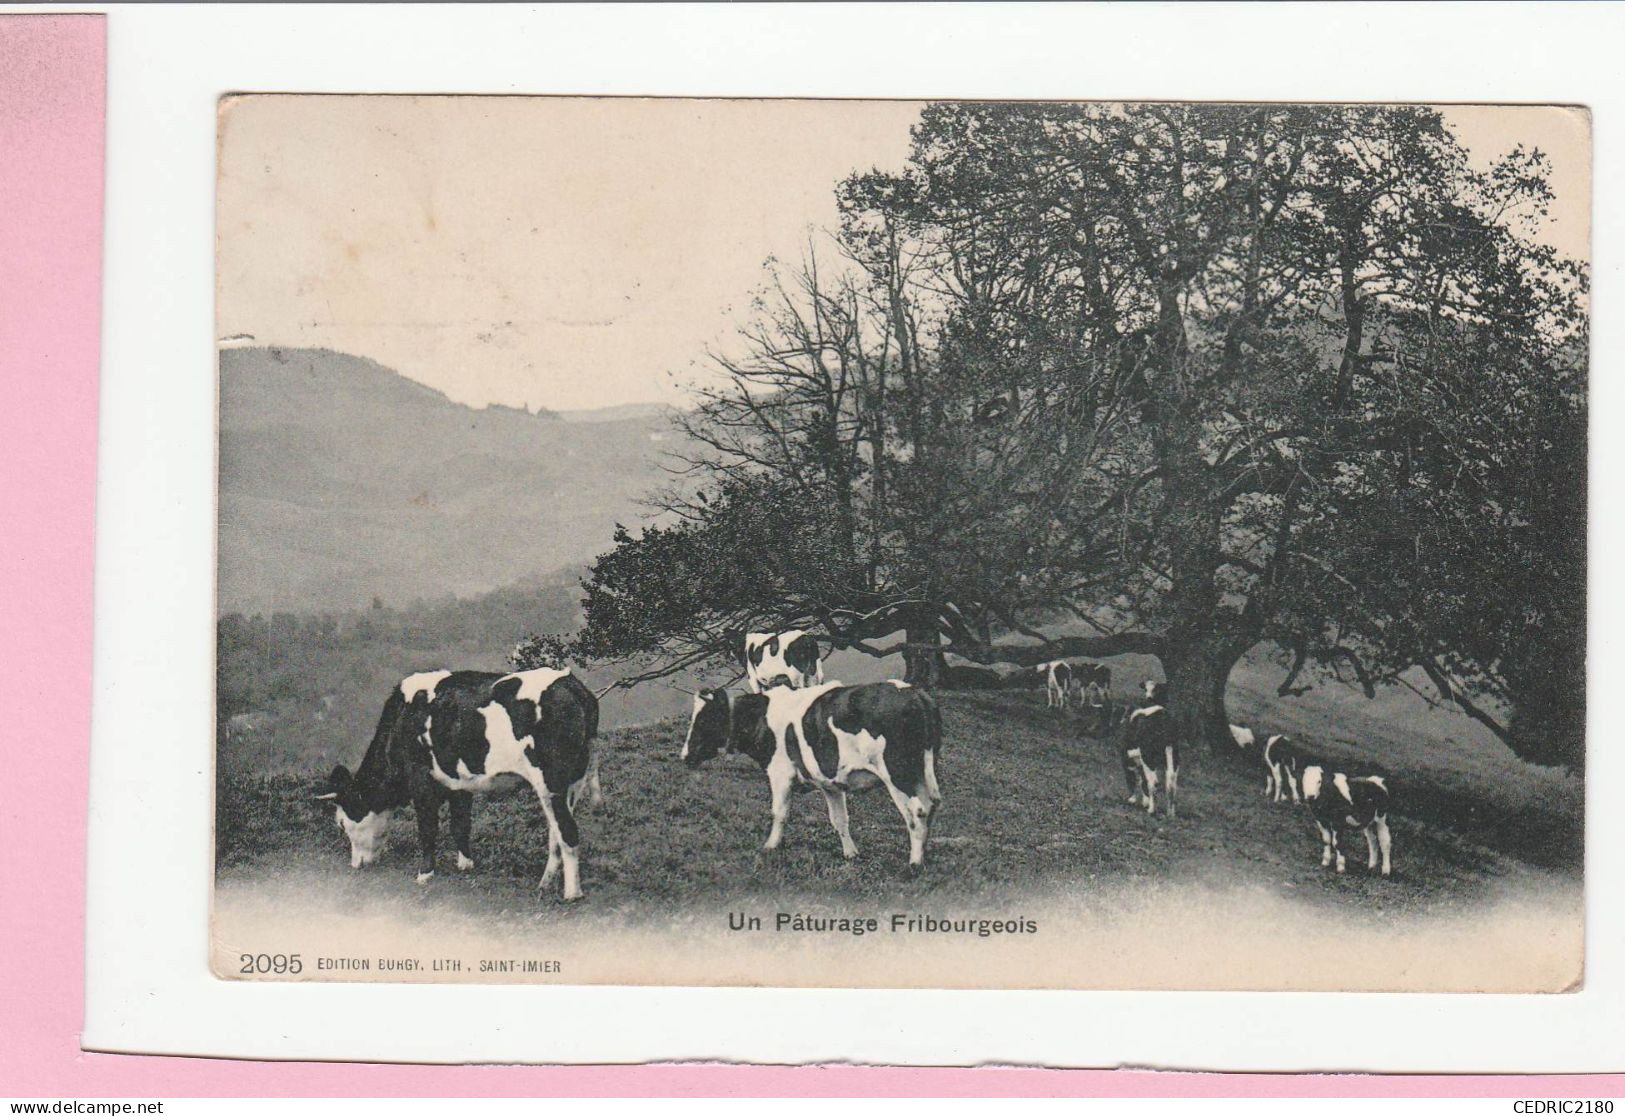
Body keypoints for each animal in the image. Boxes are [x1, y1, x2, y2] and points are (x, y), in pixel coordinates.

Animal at [316, 672, 598, 896]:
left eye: (342, 823)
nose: (356, 865)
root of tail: (571, 683)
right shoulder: (460, 783)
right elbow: (461, 825)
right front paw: (465, 864)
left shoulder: (421, 780)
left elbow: (428, 829)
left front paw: (425, 874)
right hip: (573, 781)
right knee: (556, 831)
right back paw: (546, 883)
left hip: (551, 781)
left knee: (568, 832)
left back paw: (572, 894)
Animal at [682, 682, 942, 870]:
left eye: (703, 719)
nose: (684, 755)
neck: (763, 718)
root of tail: (914, 692)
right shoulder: (830, 783)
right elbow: (839, 819)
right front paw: (850, 854)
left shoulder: (780, 772)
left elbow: (779, 813)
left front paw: (771, 846)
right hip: (924, 772)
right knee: (932, 805)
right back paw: (924, 854)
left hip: (898, 773)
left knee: (916, 812)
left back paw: (914, 863)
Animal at [1118, 685, 1183, 815]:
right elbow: (1143, 781)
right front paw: (1145, 802)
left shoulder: (1127, 760)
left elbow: (1132, 779)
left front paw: (1132, 800)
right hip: (1173, 756)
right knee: (1171, 784)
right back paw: (1170, 813)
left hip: (1148, 758)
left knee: (1154, 782)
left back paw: (1151, 810)